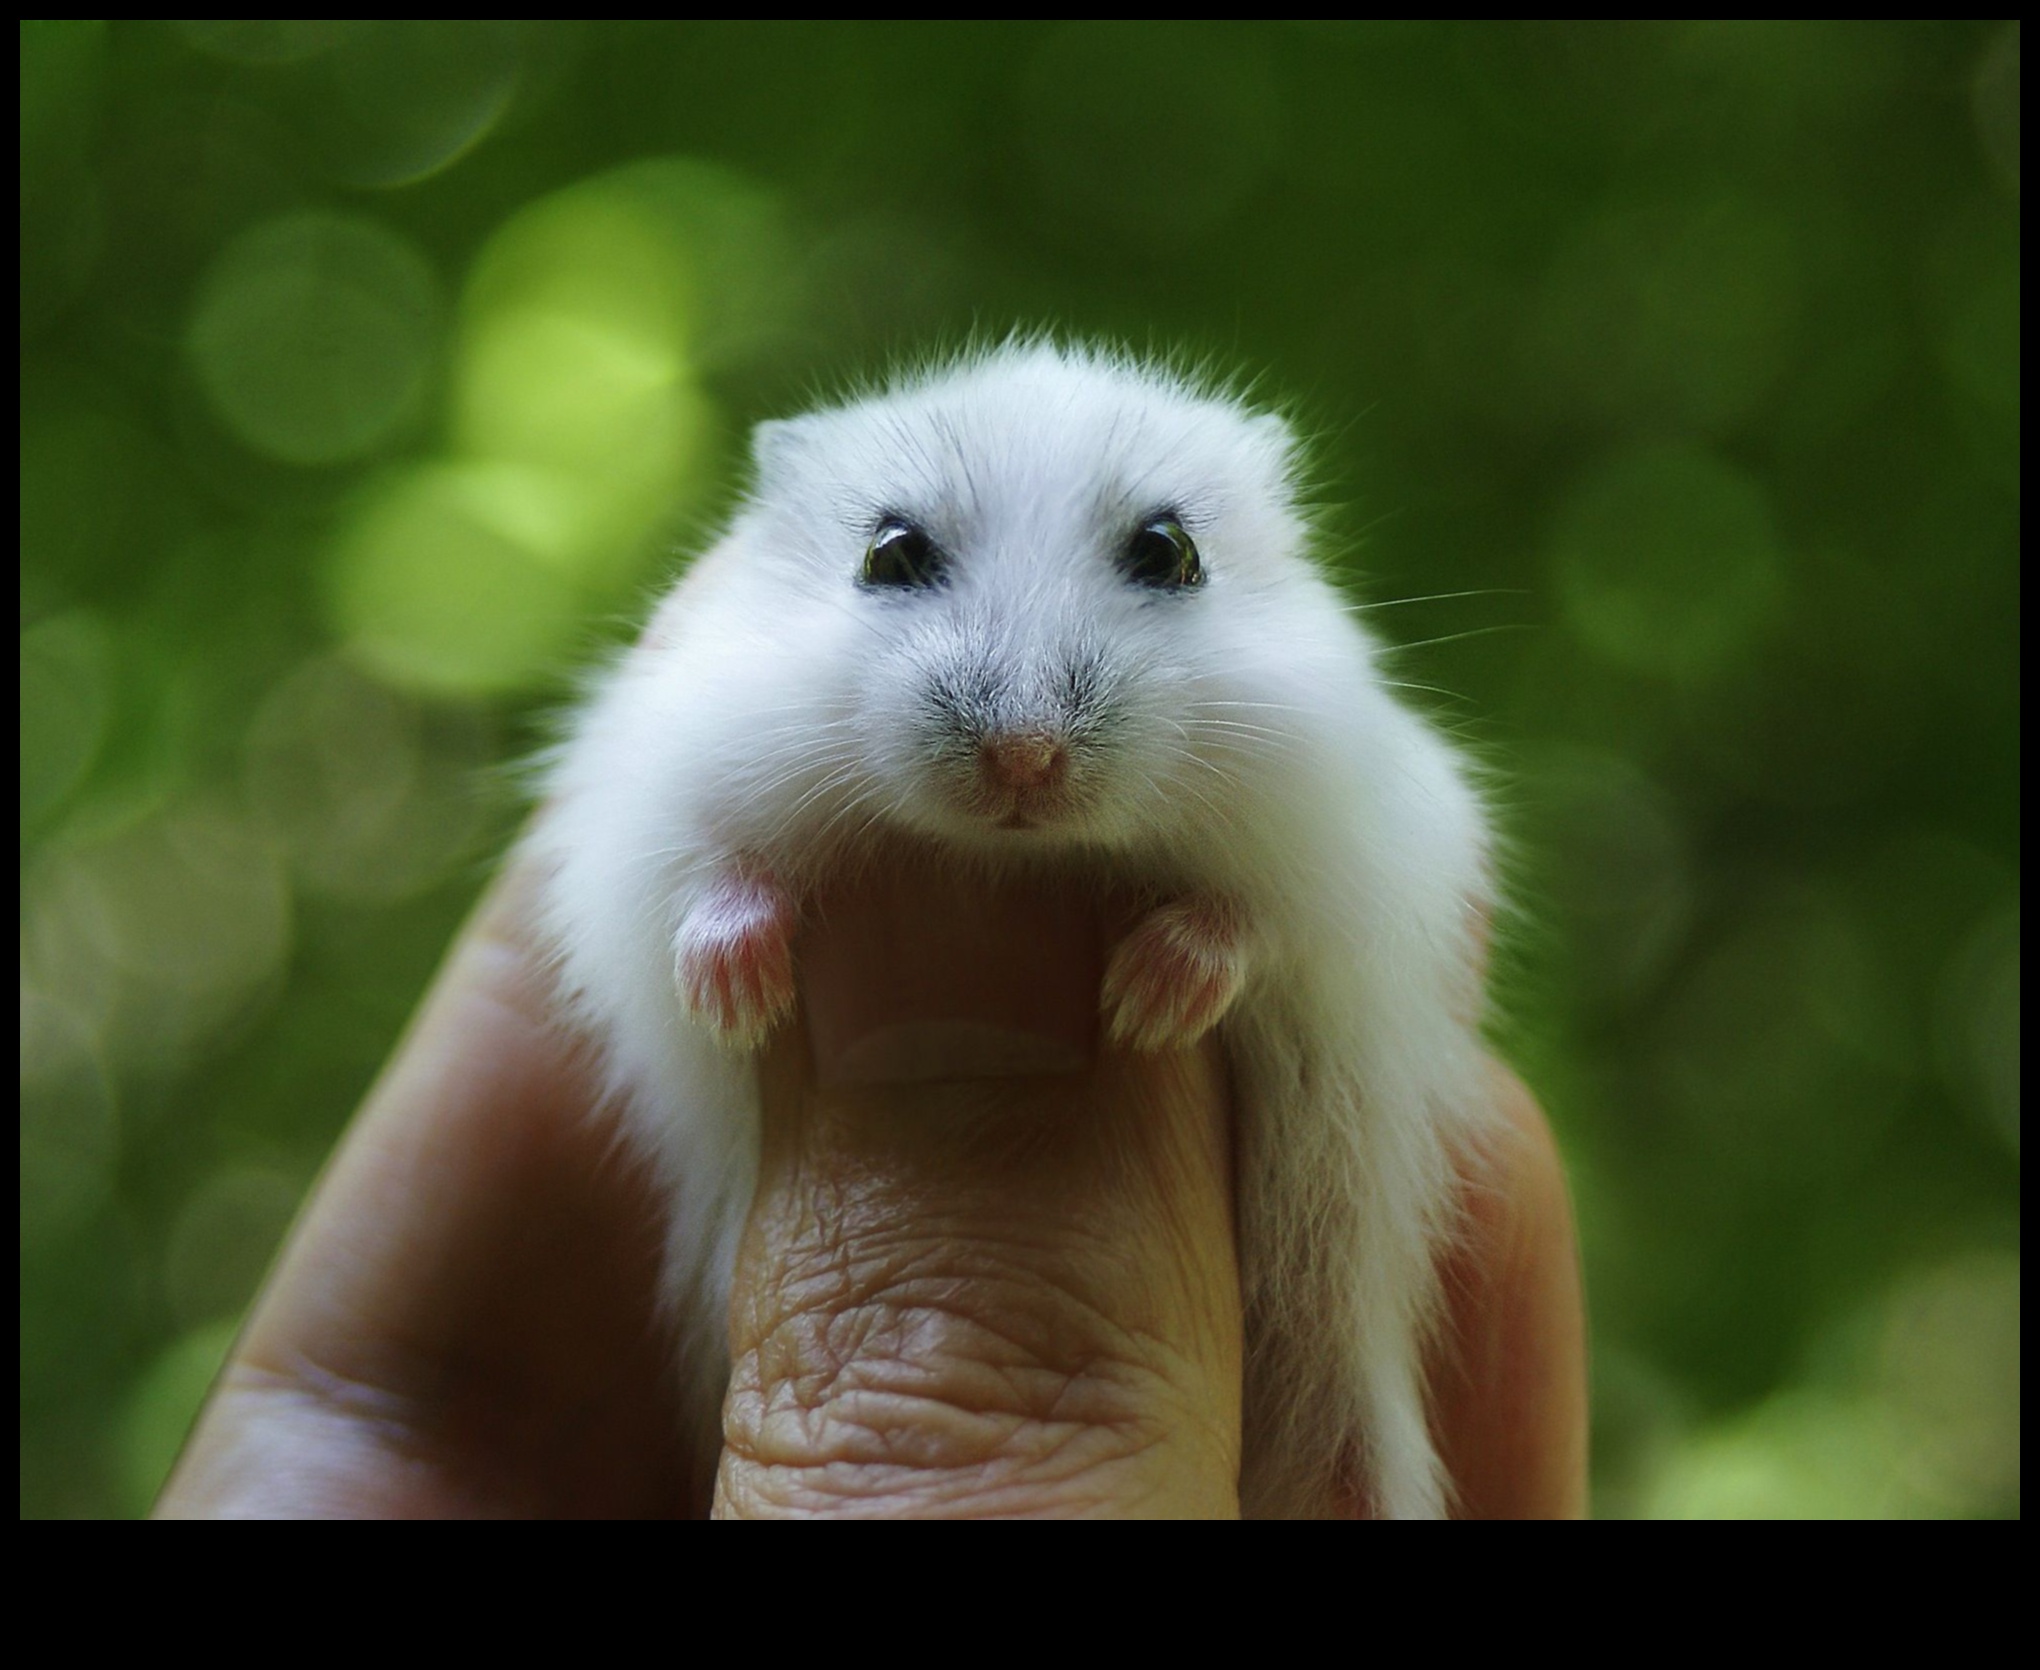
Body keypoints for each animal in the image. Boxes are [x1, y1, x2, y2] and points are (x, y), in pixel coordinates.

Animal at [534, 346, 1501, 1525]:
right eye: (890, 552)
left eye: (1170, 551)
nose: (1024, 760)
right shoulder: (639, 822)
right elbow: (705, 882)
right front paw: (739, 998)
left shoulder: (1357, 860)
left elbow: (1247, 924)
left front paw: (1144, 1003)